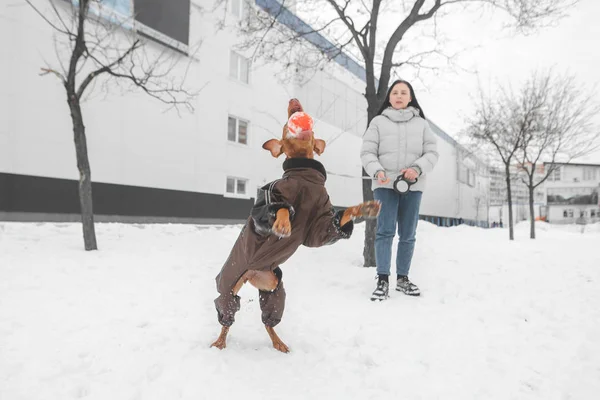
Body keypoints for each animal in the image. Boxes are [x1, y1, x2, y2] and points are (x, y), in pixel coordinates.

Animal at [211, 98, 380, 352]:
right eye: (287, 119)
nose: (295, 101)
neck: (304, 174)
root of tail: (251, 273)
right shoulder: (264, 206)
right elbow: (281, 208)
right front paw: (283, 225)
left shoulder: (319, 228)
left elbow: (336, 222)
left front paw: (363, 209)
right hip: (230, 283)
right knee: (227, 312)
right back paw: (220, 341)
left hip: (272, 286)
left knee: (268, 320)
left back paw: (278, 342)